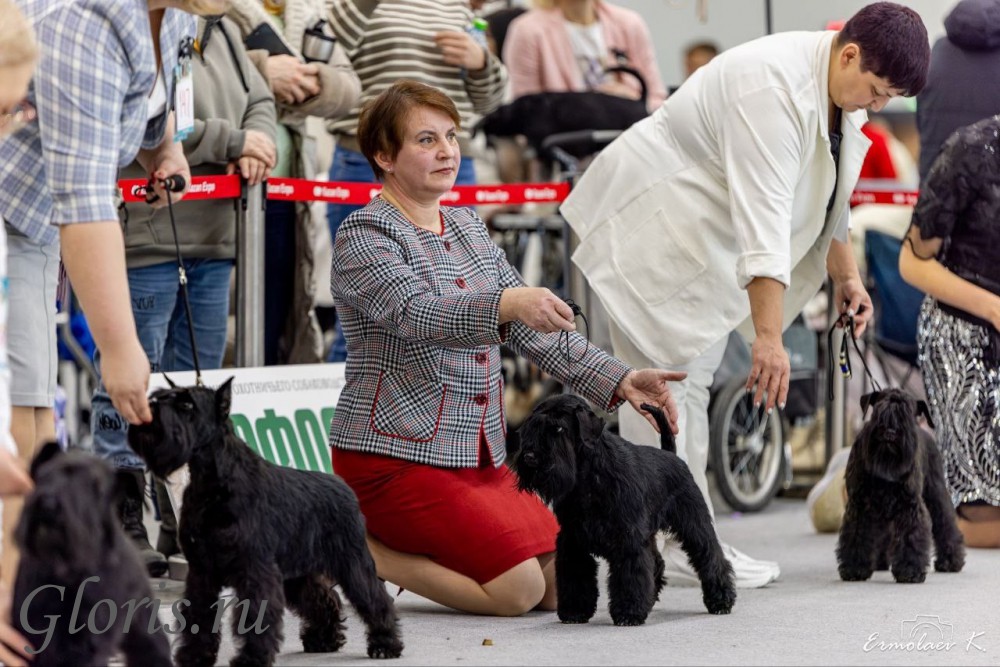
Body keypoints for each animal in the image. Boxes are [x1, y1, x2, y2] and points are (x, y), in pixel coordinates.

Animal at [127, 378, 403, 666]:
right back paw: (323, 640)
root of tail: (344, 487)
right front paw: (194, 656)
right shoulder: (202, 571)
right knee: (321, 598)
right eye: (160, 396)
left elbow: (254, 617)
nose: (147, 415)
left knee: (374, 597)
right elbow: (199, 616)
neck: (213, 481)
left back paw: (385, 644)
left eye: (187, 405)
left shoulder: (254, 571)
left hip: (351, 563)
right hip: (297, 572)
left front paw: (251, 658)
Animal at [511, 394, 736, 625]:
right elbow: (576, 577)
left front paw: (629, 613)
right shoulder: (573, 541)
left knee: (710, 556)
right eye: (532, 426)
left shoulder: (628, 539)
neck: (588, 477)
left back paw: (721, 601)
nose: (529, 457)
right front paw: (575, 612)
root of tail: (671, 455)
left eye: (559, 428)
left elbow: (630, 575)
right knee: (657, 563)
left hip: (694, 524)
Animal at [836, 388, 965, 583]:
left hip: (936, 494)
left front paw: (909, 570)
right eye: (878, 412)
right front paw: (854, 568)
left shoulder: (910, 505)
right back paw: (880, 562)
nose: (890, 432)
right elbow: (856, 534)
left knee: (945, 523)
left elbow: (910, 536)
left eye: (907, 414)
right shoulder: (859, 505)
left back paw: (950, 562)